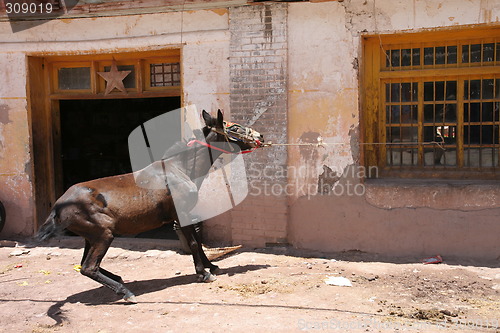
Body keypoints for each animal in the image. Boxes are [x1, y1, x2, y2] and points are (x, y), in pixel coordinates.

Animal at [35, 110, 264, 302]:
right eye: (234, 128)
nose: (260, 137)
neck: (179, 169)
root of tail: (58, 205)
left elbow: (198, 242)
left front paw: (211, 266)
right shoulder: (181, 214)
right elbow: (192, 243)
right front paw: (202, 273)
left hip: (91, 236)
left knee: (85, 264)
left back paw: (117, 278)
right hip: (103, 234)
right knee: (88, 268)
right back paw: (125, 292)